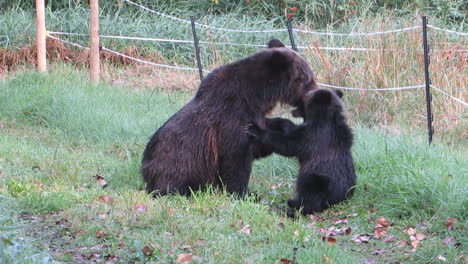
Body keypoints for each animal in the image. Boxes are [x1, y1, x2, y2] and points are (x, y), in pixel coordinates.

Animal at [142, 39, 318, 196]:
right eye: (307, 78)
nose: (315, 91)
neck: (257, 96)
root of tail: (145, 175)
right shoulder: (230, 120)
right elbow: (236, 161)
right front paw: (245, 193)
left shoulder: (253, 113)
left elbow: (261, 139)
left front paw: (285, 126)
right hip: (177, 165)